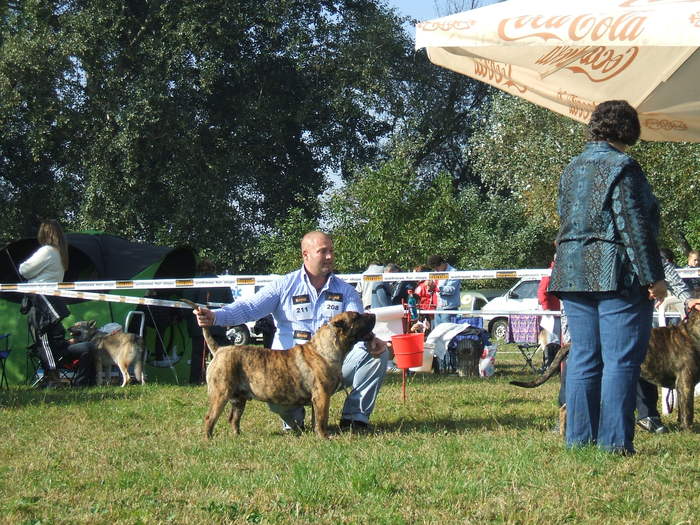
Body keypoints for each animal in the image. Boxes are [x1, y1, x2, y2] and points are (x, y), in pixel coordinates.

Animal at [183, 298, 374, 438]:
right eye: (356, 317)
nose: (372, 314)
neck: (324, 350)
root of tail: (219, 350)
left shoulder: (317, 399)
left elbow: (316, 419)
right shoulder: (322, 396)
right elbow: (322, 418)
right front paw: (324, 437)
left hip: (239, 399)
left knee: (233, 419)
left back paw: (238, 436)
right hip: (220, 394)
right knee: (210, 418)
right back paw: (209, 439)